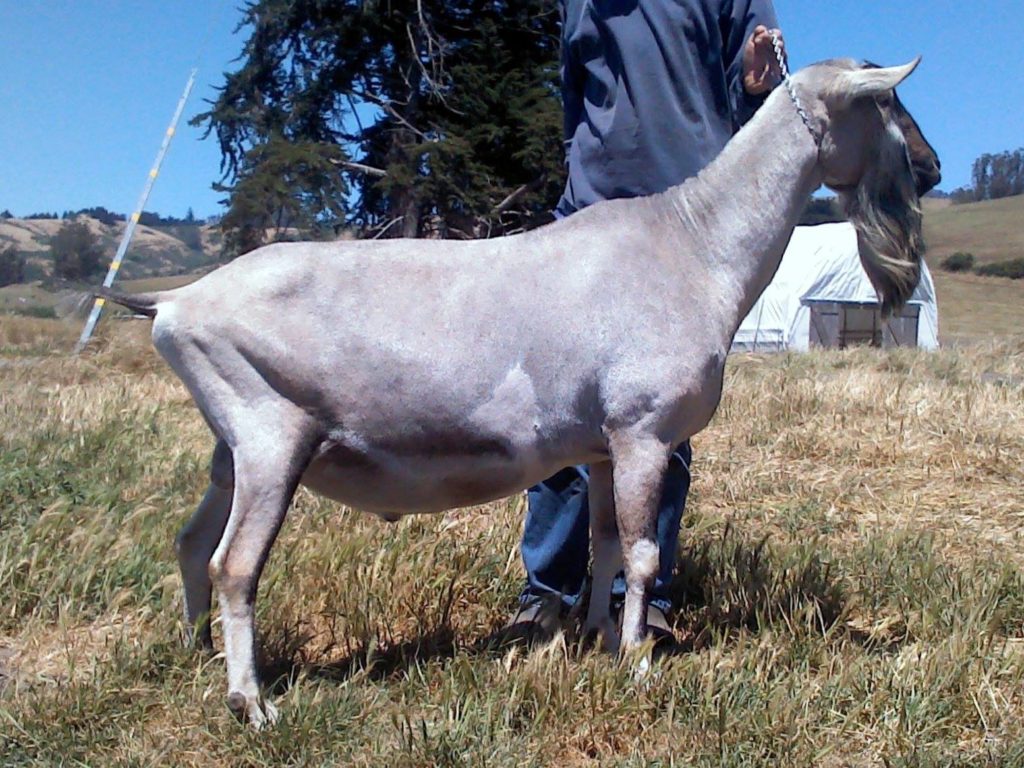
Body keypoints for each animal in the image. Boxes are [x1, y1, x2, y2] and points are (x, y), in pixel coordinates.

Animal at [99, 58, 938, 727]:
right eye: (885, 102)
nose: (930, 168)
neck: (694, 243)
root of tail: (177, 302)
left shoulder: (600, 447)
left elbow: (604, 547)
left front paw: (594, 638)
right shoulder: (643, 431)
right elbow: (641, 554)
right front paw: (636, 665)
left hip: (229, 447)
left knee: (191, 542)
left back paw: (196, 652)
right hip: (269, 435)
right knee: (234, 565)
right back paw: (252, 703)